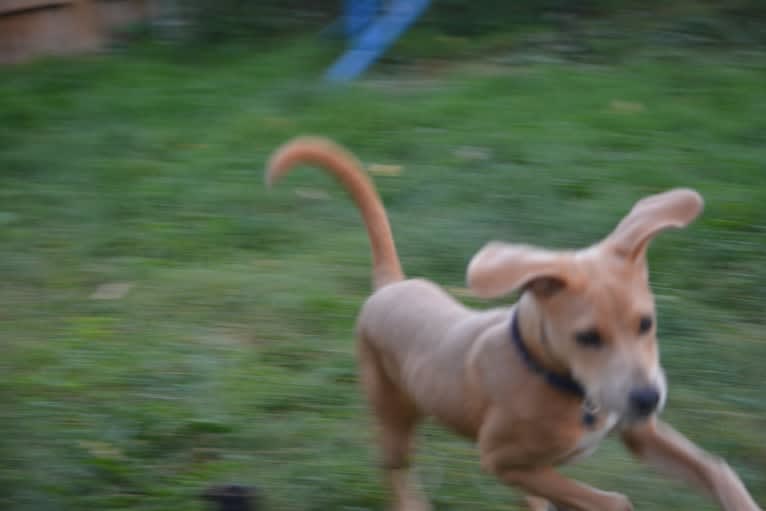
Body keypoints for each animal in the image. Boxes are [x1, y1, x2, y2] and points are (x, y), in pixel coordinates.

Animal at [266, 137, 760, 511]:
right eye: (586, 337)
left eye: (646, 323)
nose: (647, 399)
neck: (557, 379)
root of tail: (391, 285)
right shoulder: (500, 459)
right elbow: (611, 501)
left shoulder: (639, 436)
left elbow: (717, 470)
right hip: (393, 417)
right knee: (397, 472)